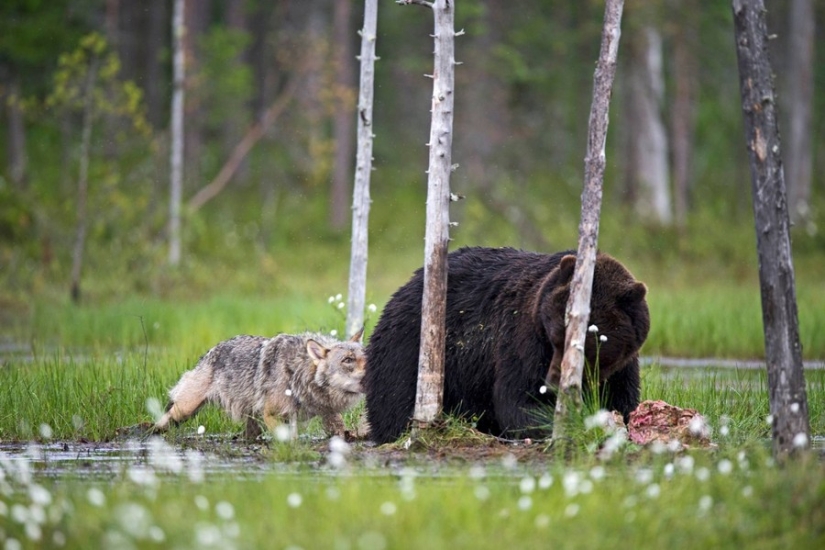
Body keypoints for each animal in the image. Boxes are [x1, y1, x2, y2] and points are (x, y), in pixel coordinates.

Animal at [153, 329, 365, 440]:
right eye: (348, 360)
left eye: (367, 356)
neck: (298, 373)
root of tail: (209, 351)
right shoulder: (272, 415)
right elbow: (289, 441)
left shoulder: (328, 414)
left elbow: (340, 432)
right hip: (185, 409)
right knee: (164, 419)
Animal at [364, 246, 650, 444]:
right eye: (555, 336)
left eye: (587, 347)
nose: (552, 384)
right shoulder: (522, 339)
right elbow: (517, 400)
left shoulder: (621, 365)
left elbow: (623, 400)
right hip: (409, 344)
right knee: (395, 397)